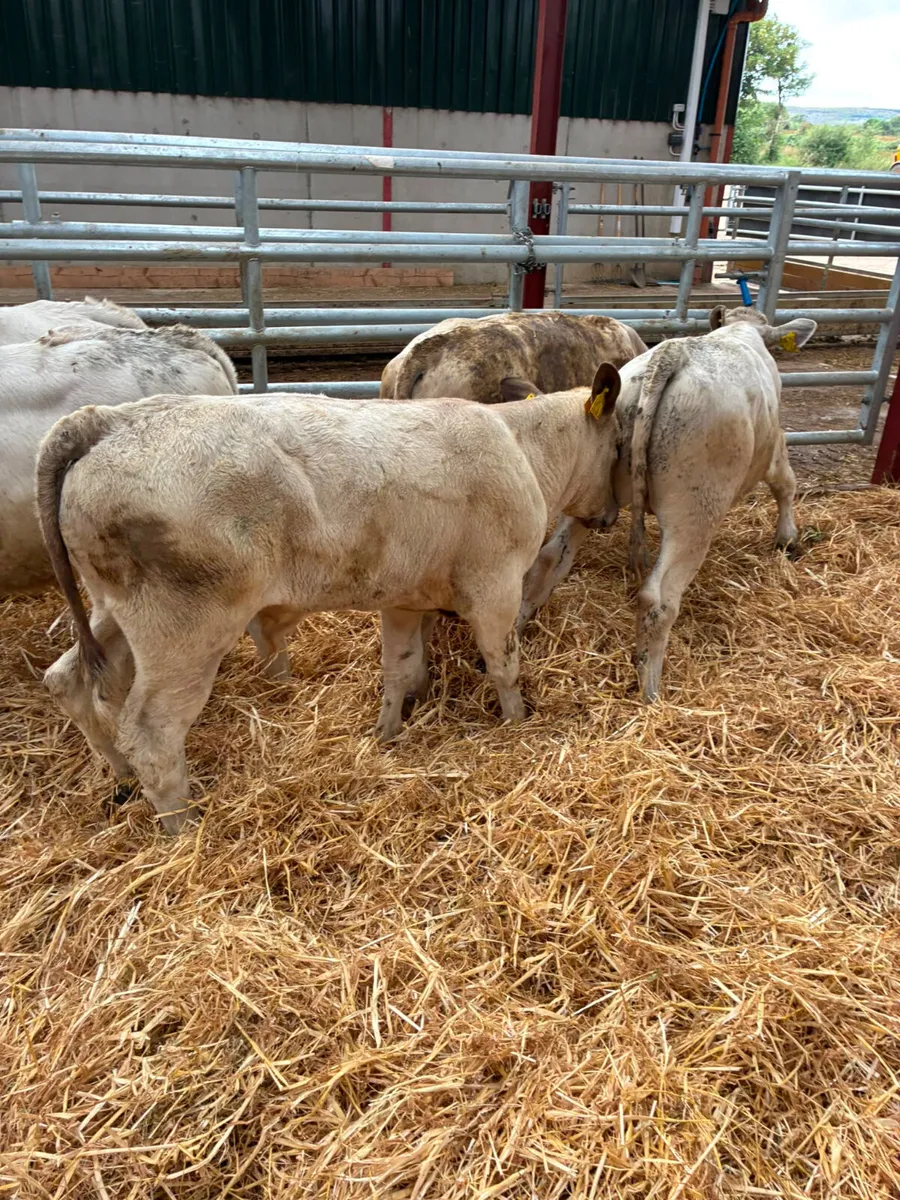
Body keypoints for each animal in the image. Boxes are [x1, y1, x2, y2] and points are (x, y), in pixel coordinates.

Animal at [38, 373, 622, 833]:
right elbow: (504, 665)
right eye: (618, 448)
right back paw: (183, 831)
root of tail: (109, 419)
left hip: (114, 613)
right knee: (152, 735)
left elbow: (399, 668)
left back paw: (121, 777)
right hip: (185, 631)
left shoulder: (405, 597)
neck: (522, 448)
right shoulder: (496, 588)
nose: (612, 515)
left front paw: (388, 734)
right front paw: (518, 725)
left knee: (69, 681)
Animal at [510, 305, 816, 702]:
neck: (740, 332)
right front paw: (787, 539)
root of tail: (670, 355)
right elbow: (785, 483)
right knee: (658, 598)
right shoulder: (774, 447)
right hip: (694, 513)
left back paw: (515, 634)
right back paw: (650, 690)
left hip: (589, 493)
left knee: (548, 560)